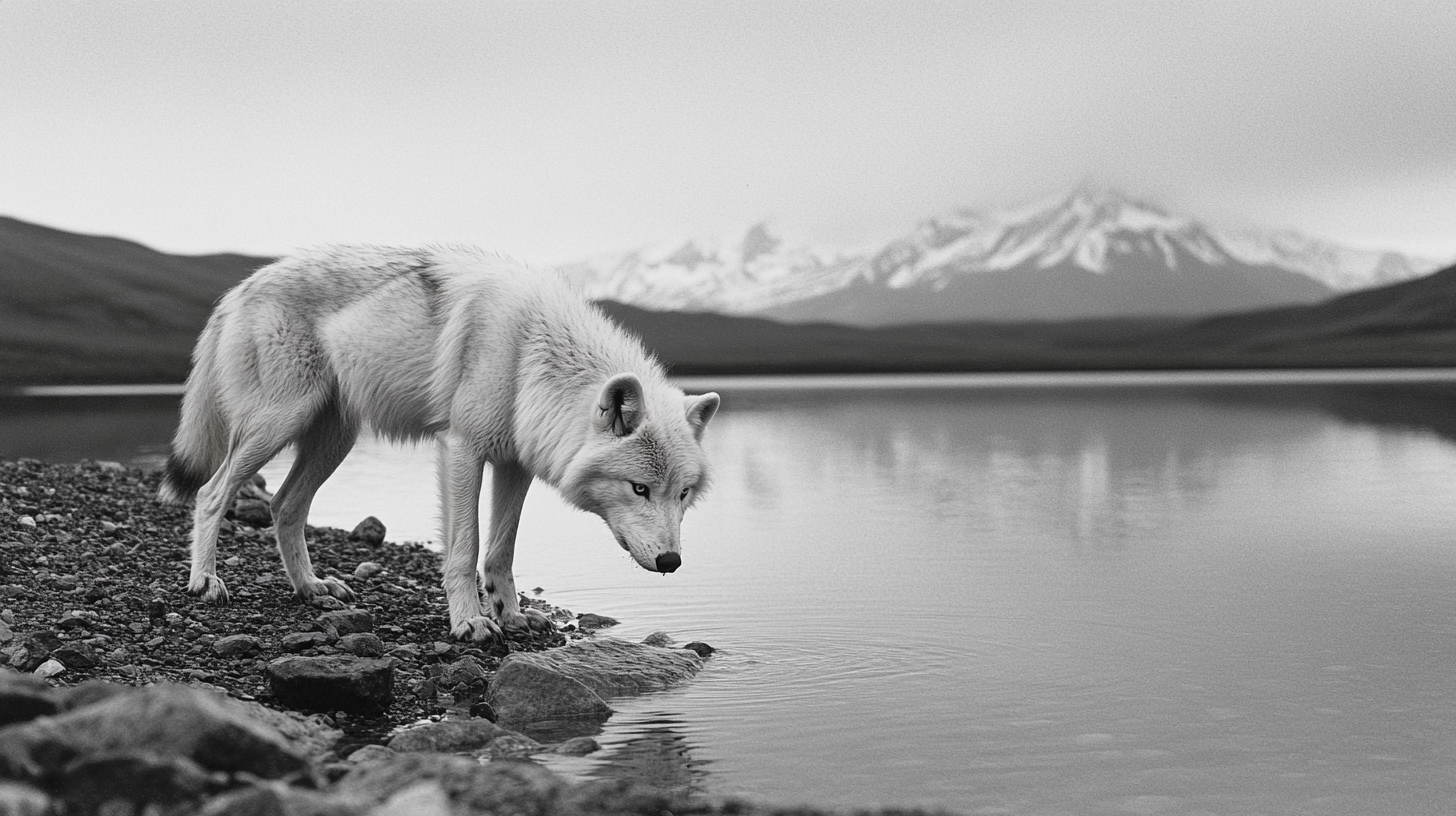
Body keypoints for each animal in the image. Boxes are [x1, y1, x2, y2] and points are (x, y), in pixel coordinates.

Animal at [160, 244, 722, 641]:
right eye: (639, 488)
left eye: (683, 494)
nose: (671, 563)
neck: (529, 353)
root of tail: (239, 288)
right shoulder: (463, 450)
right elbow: (464, 548)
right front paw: (469, 622)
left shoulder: (514, 465)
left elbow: (501, 550)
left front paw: (511, 617)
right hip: (277, 424)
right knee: (212, 493)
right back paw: (205, 582)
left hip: (333, 440)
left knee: (283, 506)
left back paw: (311, 589)